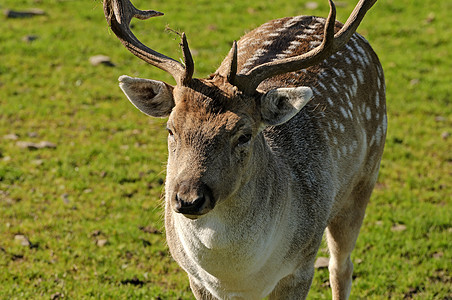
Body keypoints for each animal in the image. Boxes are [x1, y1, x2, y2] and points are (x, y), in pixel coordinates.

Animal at [103, 0, 388, 298]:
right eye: (171, 129)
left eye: (244, 135)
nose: (188, 199)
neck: (237, 277)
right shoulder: (195, 277)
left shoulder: (300, 267)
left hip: (364, 178)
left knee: (340, 267)